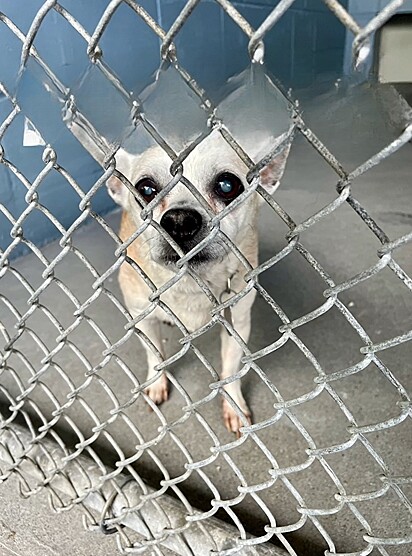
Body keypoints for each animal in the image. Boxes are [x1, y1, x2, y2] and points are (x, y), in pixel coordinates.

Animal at [68, 114, 290, 434]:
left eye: (227, 185)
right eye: (146, 189)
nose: (180, 220)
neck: (189, 283)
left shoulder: (237, 324)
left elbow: (231, 368)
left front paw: (233, 403)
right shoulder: (142, 318)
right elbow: (155, 354)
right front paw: (156, 383)